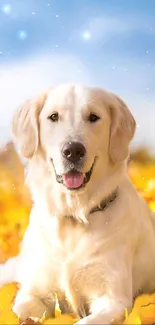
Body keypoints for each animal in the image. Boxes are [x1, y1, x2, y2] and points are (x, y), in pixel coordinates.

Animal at [0, 84, 155, 324]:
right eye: (53, 116)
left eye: (93, 117)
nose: (73, 150)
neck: (73, 215)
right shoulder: (33, 292)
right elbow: (19, 310)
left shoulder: (114, 301)